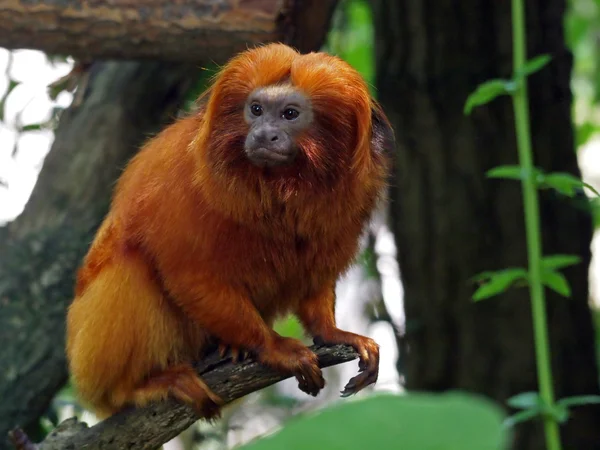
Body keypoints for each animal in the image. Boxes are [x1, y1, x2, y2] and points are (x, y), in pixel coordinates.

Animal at [65, 42, 396, 418]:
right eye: (256, 109)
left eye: (290, 114)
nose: (264, 134)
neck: (277, 187)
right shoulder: (177, 180)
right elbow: (190, 276)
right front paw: (274, 347)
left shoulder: (349, 195)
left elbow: (314, 273)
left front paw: (332, 331)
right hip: (90, 355)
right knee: (130, 267)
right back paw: (142, 386)